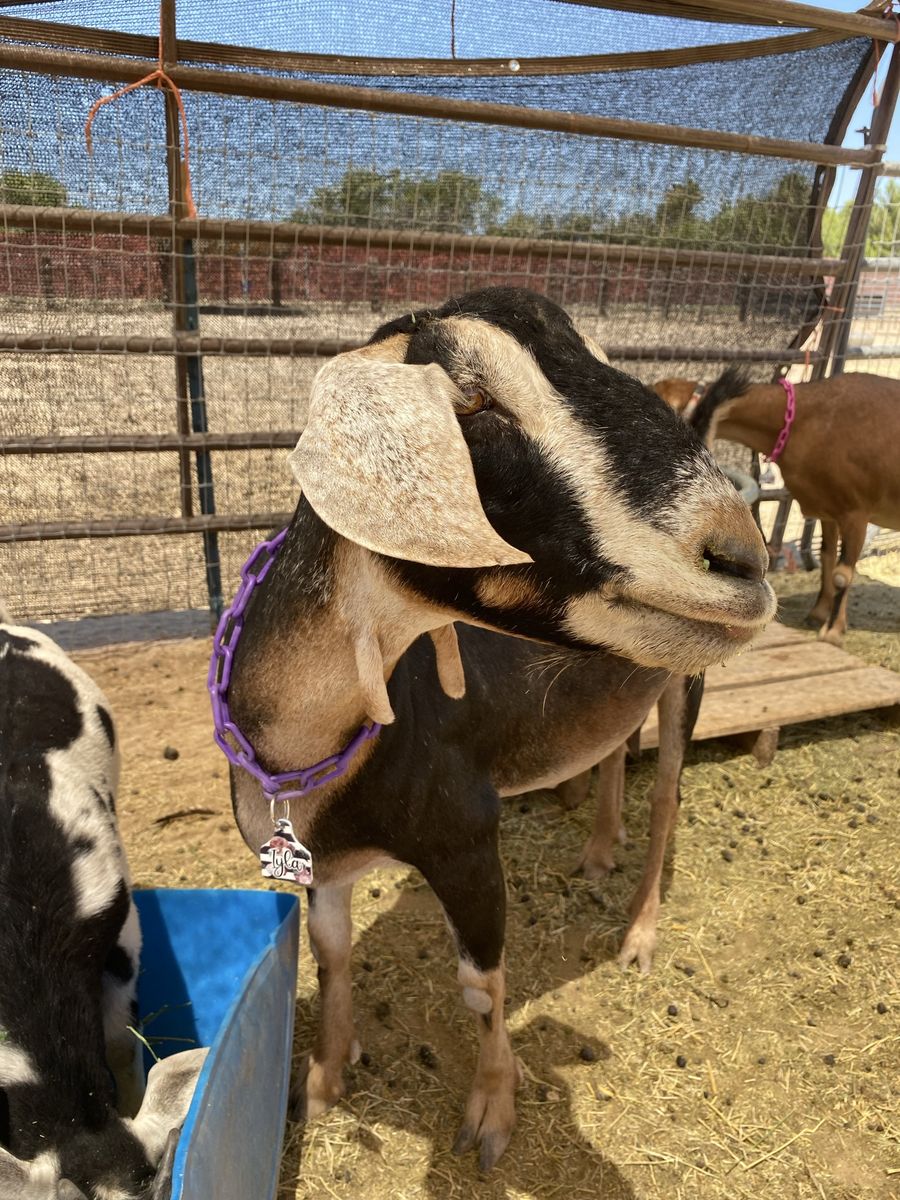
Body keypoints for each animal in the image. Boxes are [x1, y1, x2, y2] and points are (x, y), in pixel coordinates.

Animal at [222, 288, 774, 1169]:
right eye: (474, 401)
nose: (739, 556)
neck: (302, 750)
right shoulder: (323, 862)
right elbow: (332, 955)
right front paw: (322, 1079)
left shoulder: (467, 836)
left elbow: (481, 987)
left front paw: (491, 1114)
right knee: (614, 753)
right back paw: (599, 848)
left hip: (685, 683)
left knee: (667, 799)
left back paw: (639, 934)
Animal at [656, 368, 900, 643]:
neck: (811, 419)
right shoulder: (828, 511)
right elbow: (827, 559)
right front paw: (818, 613)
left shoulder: (856, 513)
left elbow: (841, 574)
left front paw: (833, 630)